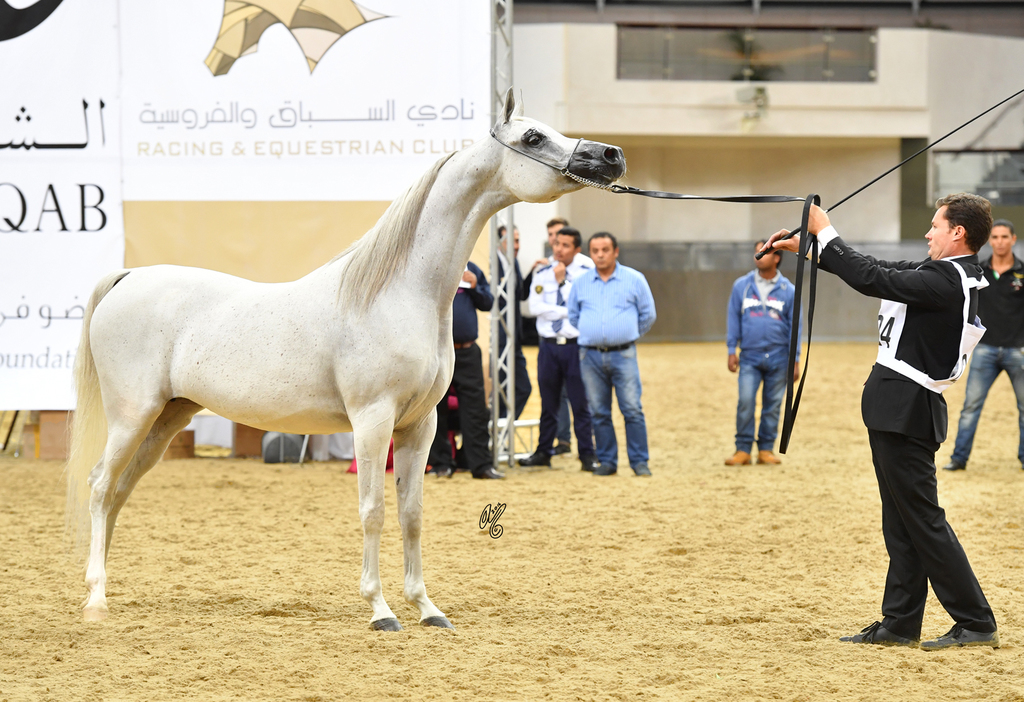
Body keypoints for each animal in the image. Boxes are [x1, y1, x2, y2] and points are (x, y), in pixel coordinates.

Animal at [65, 88, 626, 629]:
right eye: (533, 137)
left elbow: (411, 513)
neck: (399, 292)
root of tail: (128, 277)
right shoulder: (372, 421)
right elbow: (373, 510)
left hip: (167, 419)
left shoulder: (419, 425)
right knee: (98, 485)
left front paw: (427, 608)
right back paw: (95, 600)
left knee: (117, 492)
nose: (611, 156)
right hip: (132, 415)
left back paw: (102, 589)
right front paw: (381, 610)